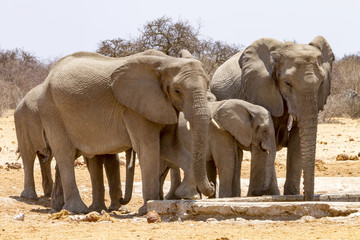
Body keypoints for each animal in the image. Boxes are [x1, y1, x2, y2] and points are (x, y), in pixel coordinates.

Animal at [38, 50, 215, 212]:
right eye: (177, 90)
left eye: (208, 85)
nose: (212, 187)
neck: (166, 61)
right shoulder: (135, 109)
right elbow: (148, 149)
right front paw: (147, 209)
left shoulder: (164, 106)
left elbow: (169, 147)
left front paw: (183, 193)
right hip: (51, 111)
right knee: (65, 154)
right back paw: (77, 210)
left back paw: (60, 208)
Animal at [211, 36, 334, 201]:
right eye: (287, 83)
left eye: (321, 82)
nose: (308, 198)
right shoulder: (260, 90)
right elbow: (266, 142)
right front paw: (263, 195)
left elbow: (297, 141)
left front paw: (291, 196)